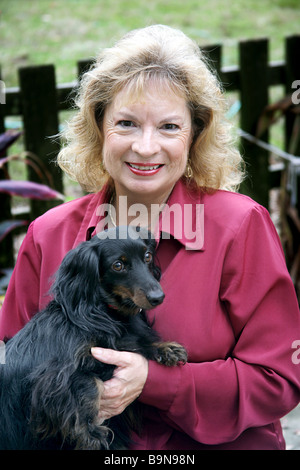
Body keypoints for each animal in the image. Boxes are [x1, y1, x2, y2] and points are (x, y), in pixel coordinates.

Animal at [0, 226, 186, 450]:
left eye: (148, 256)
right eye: (118, 265)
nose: (158, 297)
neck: (106, 313)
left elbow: (136, 344)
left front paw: (166, 349)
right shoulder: (55, 375)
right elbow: (89, 383)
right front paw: (90, 433)